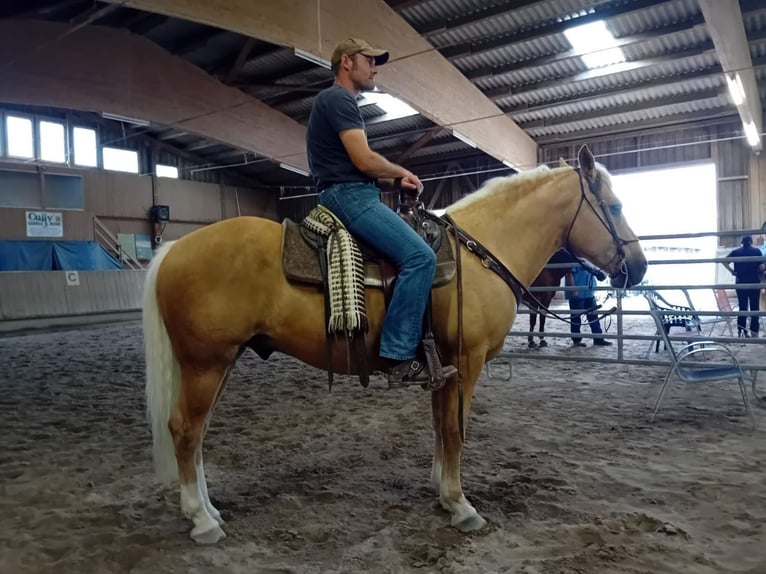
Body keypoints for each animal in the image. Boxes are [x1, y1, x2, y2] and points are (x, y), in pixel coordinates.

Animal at [142, 145, 647, 543]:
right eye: (616, 206)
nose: (638, 268)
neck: (479, 254)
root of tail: (173, 249)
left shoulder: (444, 366)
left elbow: (441, 429)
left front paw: (443, 493)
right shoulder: (467, 362)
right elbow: (455, 431)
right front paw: (461, 505)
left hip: (219, 363)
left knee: (198, 433)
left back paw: (209, 509)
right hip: (206, 364)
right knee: (185, 431)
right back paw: (201, 521)